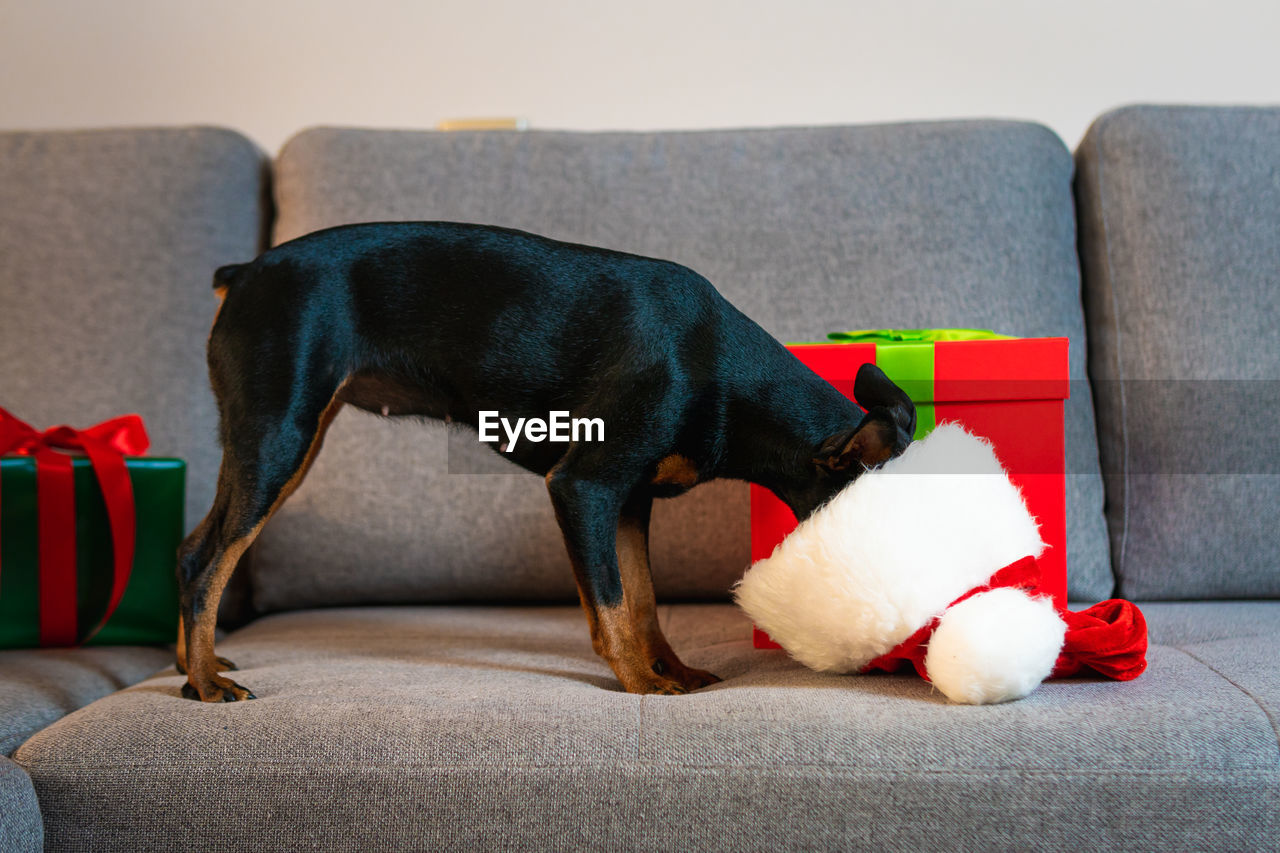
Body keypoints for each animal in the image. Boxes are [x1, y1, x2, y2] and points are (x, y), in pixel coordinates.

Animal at [175, 222, 916, 701]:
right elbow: (613, 603)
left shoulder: (629, 501)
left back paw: (190, 664)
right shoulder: (584, 488)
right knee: (209, 559)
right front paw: (640, 682)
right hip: (280, 434)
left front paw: (670, 670)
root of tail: (242, 274)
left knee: (191, 549)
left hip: (279, 442)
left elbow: (644, 600)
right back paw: (206, 682)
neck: (721, 370)